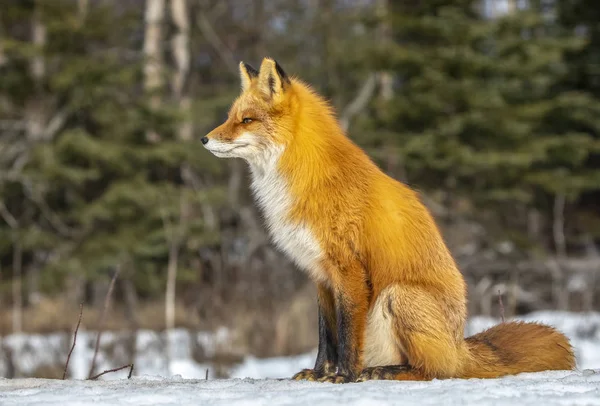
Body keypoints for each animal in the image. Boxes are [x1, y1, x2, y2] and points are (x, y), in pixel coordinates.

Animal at [202, 57, 576, 384]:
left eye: (247, 120)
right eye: (231, 117)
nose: (204, 139)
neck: (305, 177)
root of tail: (460, 346)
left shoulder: (349, 270)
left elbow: (347, 336)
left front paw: (343, 377)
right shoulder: (320, 274)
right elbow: (326, 336)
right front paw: (319, 374)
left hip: (399, 296)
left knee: (436, 371)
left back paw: (384, 372)